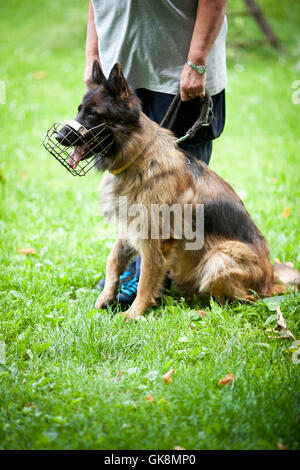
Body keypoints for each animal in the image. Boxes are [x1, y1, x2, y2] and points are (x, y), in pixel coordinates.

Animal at [57, 61, 298, 320]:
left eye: (93, 114)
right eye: (80, 110)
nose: (59, 136)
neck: (139, 158)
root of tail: (271, 279)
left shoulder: (155, 241)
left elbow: (145, 280)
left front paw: (134, 314)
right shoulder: (131, 225)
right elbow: (113, 260)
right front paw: (106, 296)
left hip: (219, 258)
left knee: (244, 301)